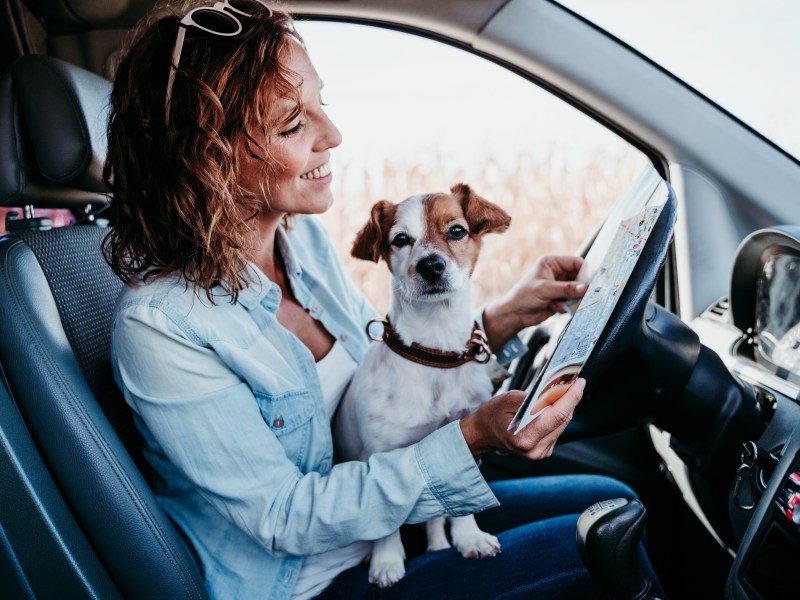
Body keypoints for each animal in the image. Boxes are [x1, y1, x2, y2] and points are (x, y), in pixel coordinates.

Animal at [332, 182, 510, 584]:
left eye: (457, 231)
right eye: (400, 239)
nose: (431, 265)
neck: (434, 352)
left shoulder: (459, 441)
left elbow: (459, 500)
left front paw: (468, 537)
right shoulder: (378, 455)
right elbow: (384, 522)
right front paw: (386, 561)